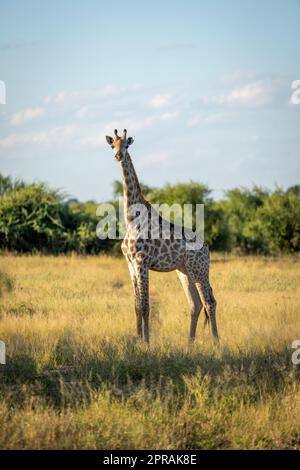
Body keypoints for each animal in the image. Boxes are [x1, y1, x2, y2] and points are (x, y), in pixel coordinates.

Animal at [106, 130, 219, 344]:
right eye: (113, 145)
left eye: (126, 145)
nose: (118, 155)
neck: (131, 219)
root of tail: (207, 247)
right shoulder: (130, 264)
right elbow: (136, 306)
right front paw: (138, 340)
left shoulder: (142, 262)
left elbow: (145, 305)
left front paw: (146, 343)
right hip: (185, 271)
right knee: (195, 304)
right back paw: (189, 345)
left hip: (200, 270)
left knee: (210, 302)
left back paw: (217, 344)